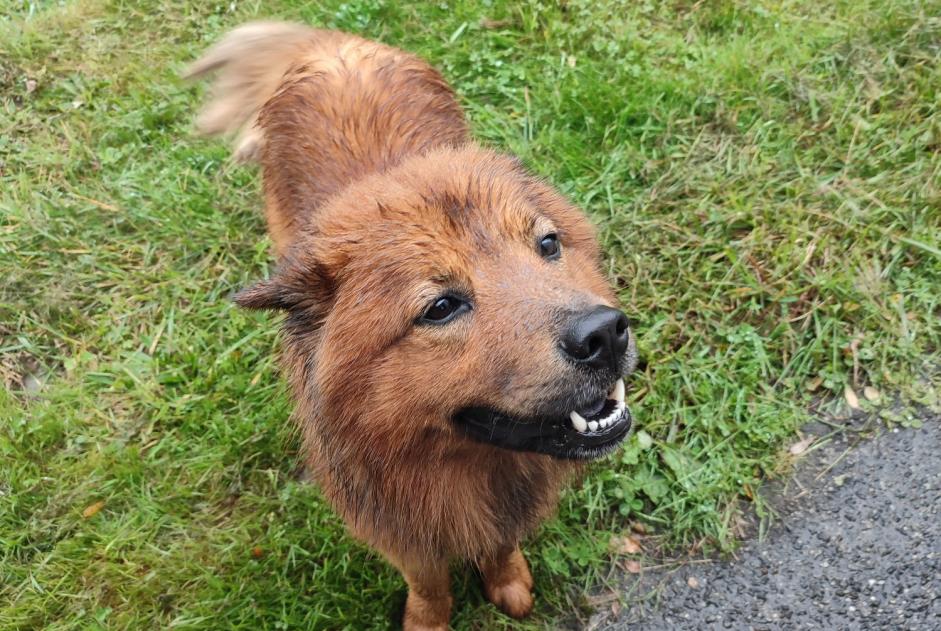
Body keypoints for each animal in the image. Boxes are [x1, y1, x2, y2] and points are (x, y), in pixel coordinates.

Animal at [185, 21, 640, 631]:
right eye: (440, 307)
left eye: (548, 244)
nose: (605, 333)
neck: (464, 467)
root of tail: (328, 42)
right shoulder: (399, 529)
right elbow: (429, 582)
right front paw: (428, 619)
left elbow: (500, 545)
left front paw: (508, 581)